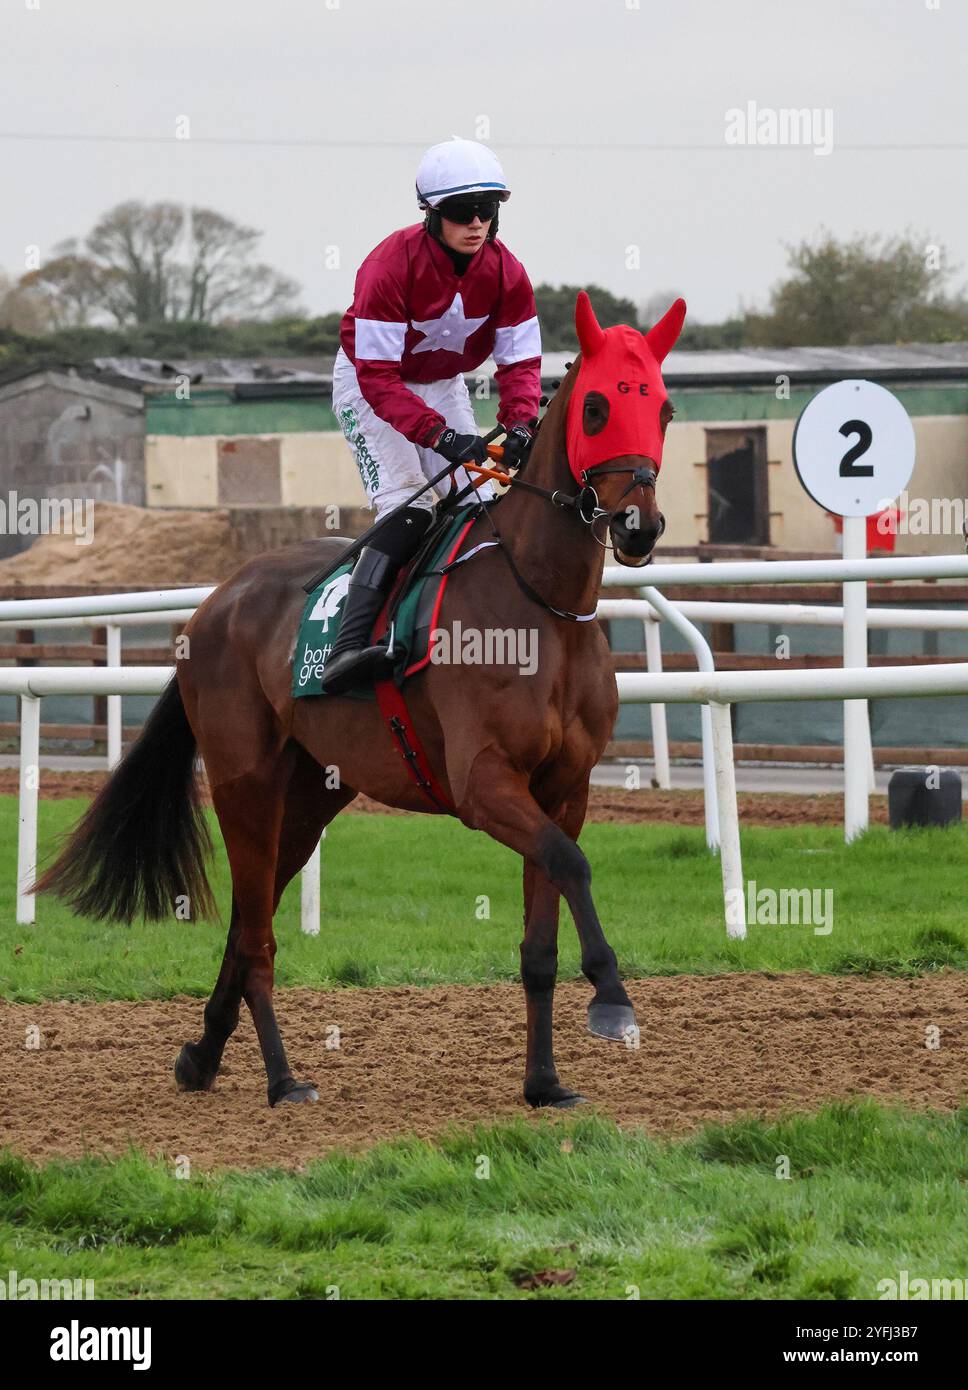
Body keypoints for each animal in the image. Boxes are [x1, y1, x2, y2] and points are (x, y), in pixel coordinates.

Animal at [37, 287, 684, 1112]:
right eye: (598, 406)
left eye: (662, 407)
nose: (640, 524)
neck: (542, 602)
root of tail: (213, 604)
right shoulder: (485, 785)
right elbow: (573, 864)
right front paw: (612, 998)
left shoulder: (562, 788)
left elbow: (544, 930)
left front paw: (544, 1083)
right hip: (246, 784)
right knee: (255, 936)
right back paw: (282, 1078)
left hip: (311, 795)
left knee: (247, 921)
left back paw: (203, 1055)